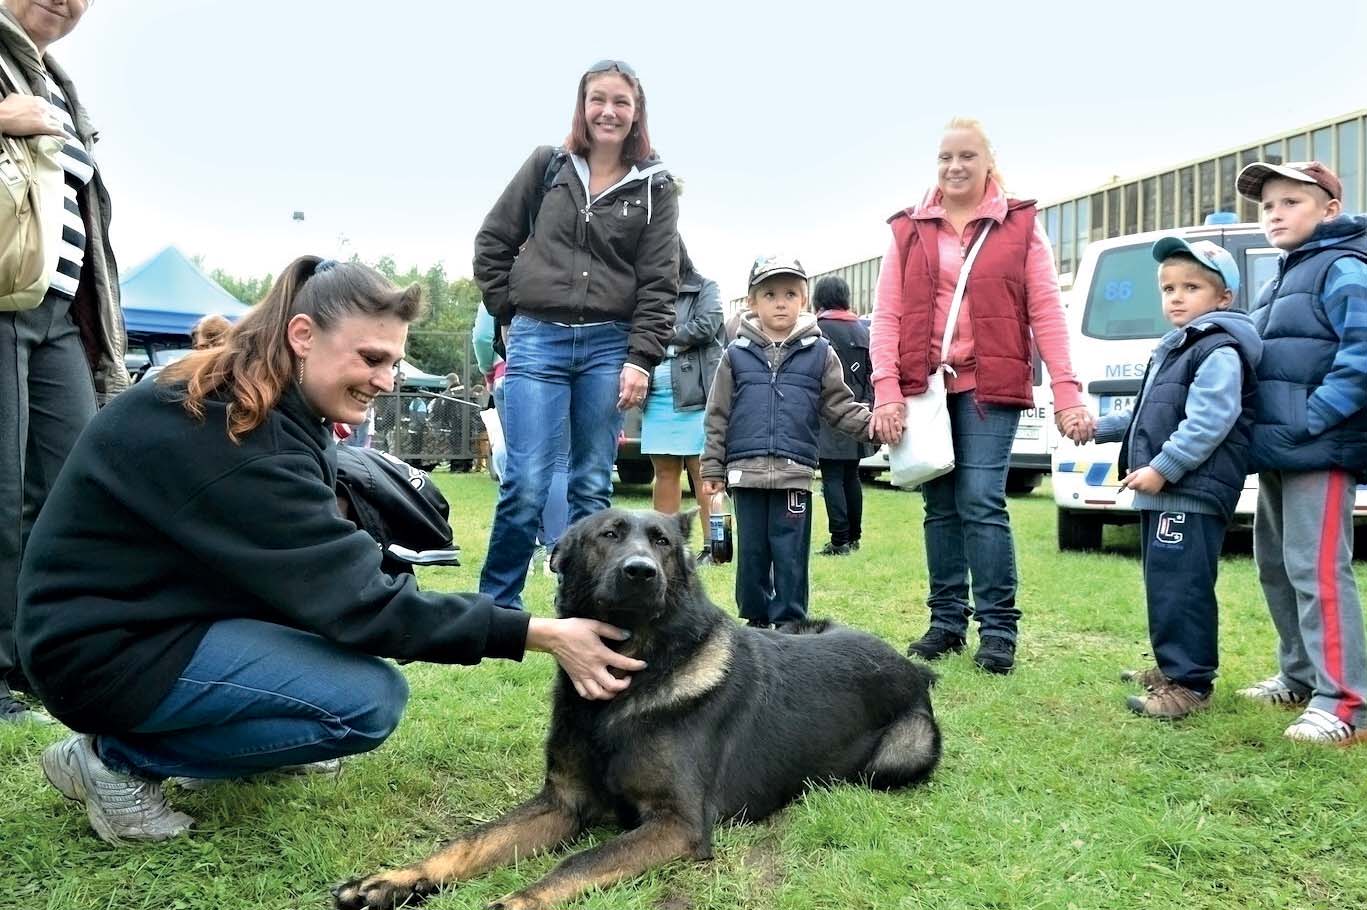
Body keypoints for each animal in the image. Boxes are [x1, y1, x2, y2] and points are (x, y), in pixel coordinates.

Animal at [336, 505, 945, 901]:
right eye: (608, 535)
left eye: (662, 543)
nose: (640, 572)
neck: (633, 677)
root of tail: (909, 667)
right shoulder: (563, 803)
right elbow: (472, 842)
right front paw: (395, 880)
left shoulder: (676, 824)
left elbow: (574, 864)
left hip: (902, 755)